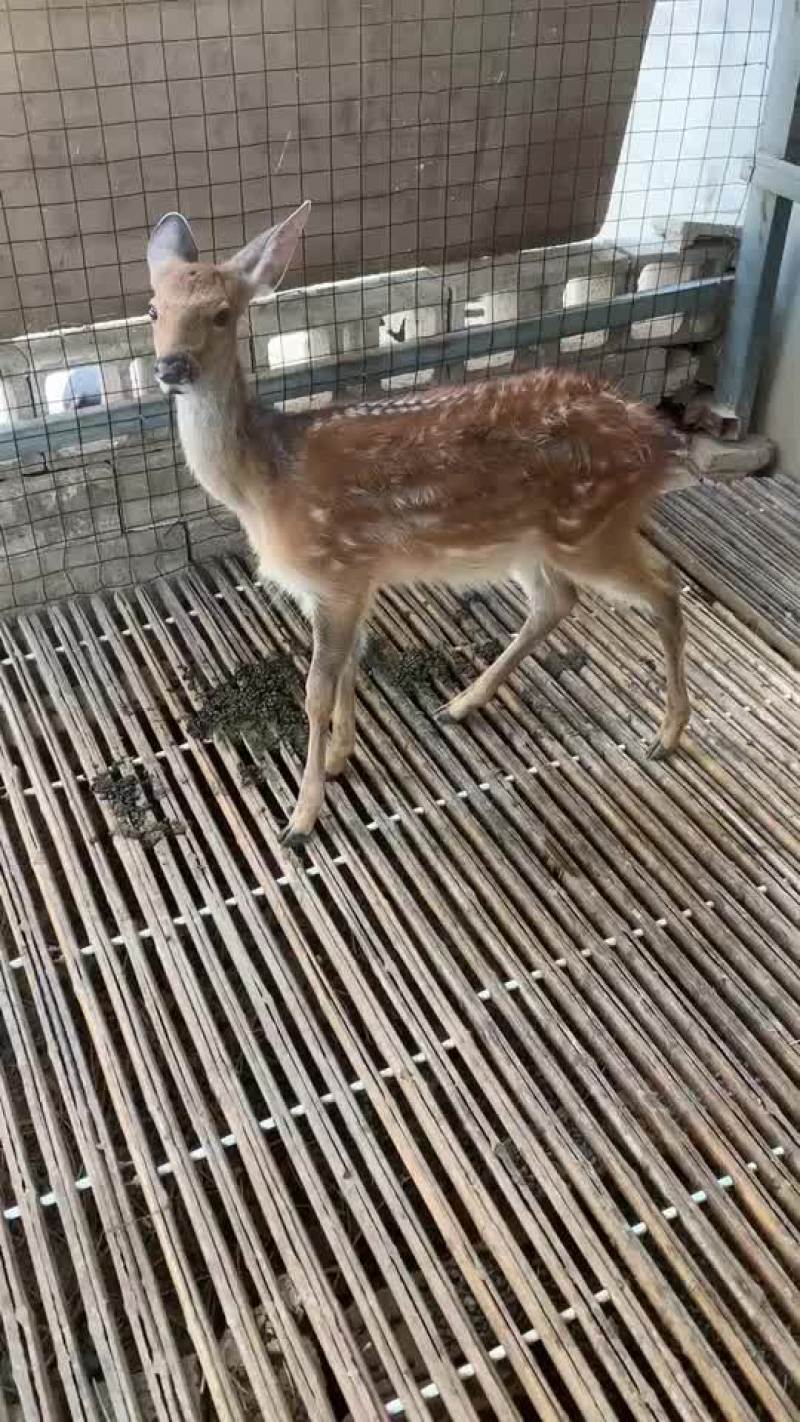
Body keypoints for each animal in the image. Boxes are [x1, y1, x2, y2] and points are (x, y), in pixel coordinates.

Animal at [146, 200, 690, 844]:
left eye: (222, 313)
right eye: (153, 309)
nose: (171, 366)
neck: (264, 485)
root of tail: (656, 438)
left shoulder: (336, 572)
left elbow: (316, 692)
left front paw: (301, 816)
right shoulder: (349, 581)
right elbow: (350, 666)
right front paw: (340, 759)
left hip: (591, 527)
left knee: (664, 585)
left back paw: (668, 734)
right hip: (534, 542)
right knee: (557, 601)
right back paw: (460, 703)